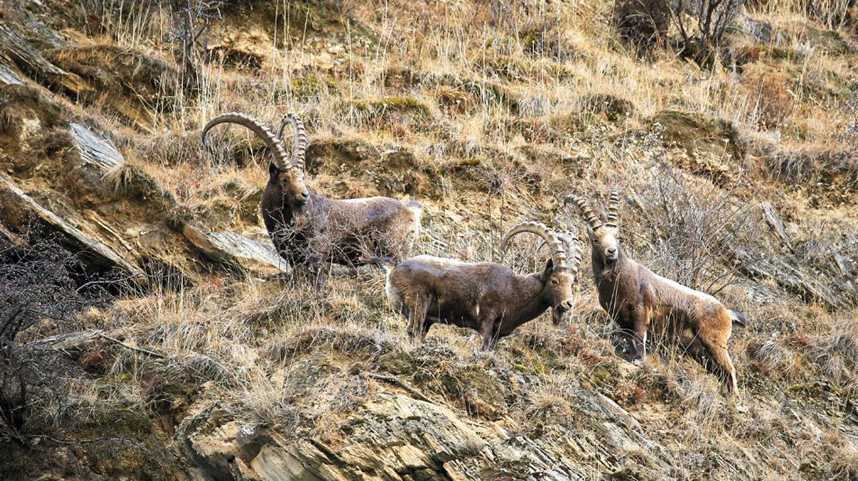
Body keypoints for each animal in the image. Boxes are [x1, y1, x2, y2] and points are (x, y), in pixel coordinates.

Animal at [205, 111, 424, 270]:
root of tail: (411, 210)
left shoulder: (316, 255)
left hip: (392, 249)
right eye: (285, 179)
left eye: (302, 177)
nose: (304, 195)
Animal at [386, 221, 580, 348]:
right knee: (412, 330)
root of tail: (393, 272)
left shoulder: (497, 334)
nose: (568, 304)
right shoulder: (487, 321)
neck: (515, 289)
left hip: (427, 319)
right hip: (417, 306)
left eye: (572, 282)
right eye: (554, 280)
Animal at [568, 191, 744, 394]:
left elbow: (639, 339)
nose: (611, 251)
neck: (620, 279)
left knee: (730, 370)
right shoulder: (620, 318)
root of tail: (727, 312)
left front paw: (638, 361)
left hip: (715, 342)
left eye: (616, 236)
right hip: (700, 350)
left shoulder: (641, 313)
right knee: (720, 372)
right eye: (596, 239)